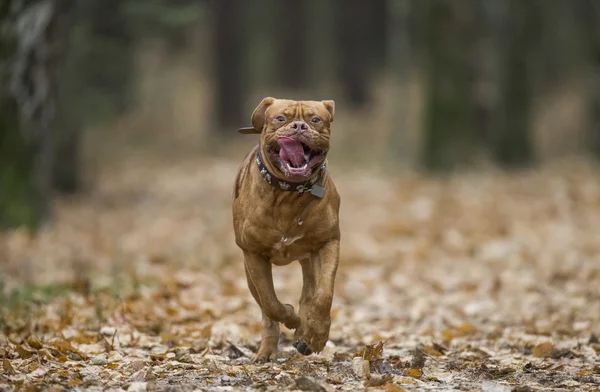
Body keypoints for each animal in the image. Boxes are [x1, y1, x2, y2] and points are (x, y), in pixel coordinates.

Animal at [232, 97, 340, 362]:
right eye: (280, 118)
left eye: (315, 119)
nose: (299, 126)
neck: (289, 193)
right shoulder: (253, 254)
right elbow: (270, 302)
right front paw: (291, 317)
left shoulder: (329, 242)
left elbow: (323, 295)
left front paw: (316, 334)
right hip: (250, 271)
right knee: (265, 308)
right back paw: (268, 350)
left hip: (310, 258)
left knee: (310, 292)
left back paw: (305, 334)